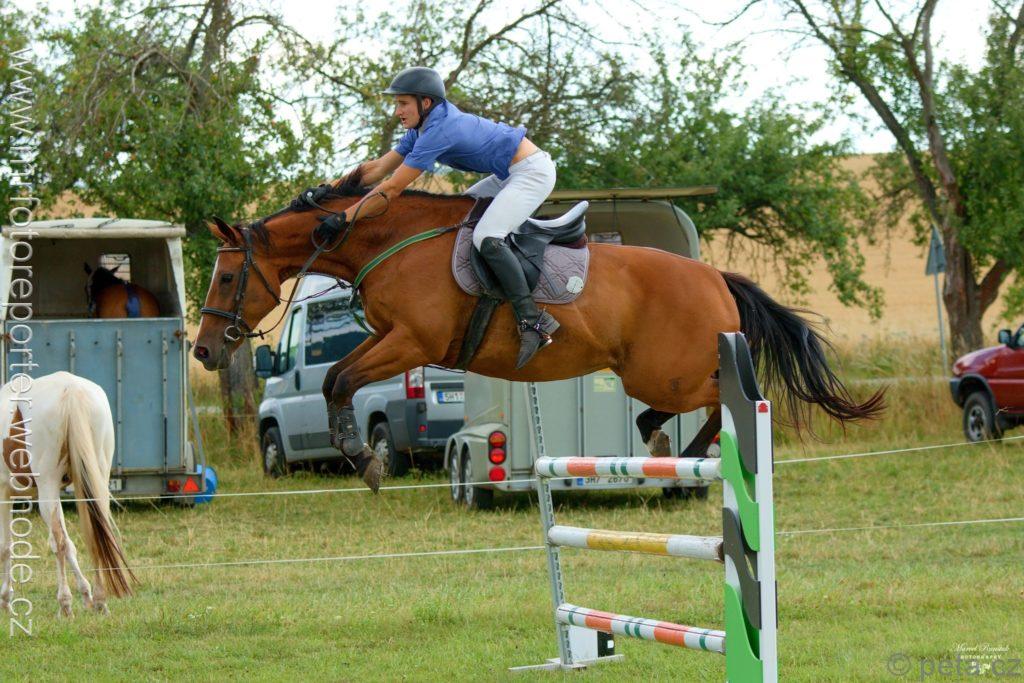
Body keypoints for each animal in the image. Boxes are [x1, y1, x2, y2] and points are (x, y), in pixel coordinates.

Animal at [0, 372, 137, 617]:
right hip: (96, 479)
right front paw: (86, 595)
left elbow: (6, 547)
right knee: (95, 534)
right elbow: (70, 545)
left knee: (60, 542)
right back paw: (100, 601)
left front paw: (6, 600)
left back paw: (64, 604)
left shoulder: (5, 491)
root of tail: (72, 390)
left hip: (48, 485)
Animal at [193, 169, 884, 492]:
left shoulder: (413, 343)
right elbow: (336, 375)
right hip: (654, 372)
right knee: (681, 407)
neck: (389, 241)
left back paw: (687, 452)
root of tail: (716, 276)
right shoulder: (391, 339)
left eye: (226, 278)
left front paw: (364, 458)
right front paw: (358, 453)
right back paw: (663, 444)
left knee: (733, 396)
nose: (203, 351)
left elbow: (341, 379)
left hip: (667, 370)